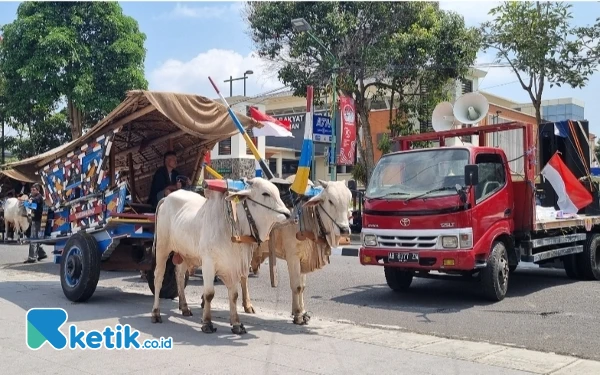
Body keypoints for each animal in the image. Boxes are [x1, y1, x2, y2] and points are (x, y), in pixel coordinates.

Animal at [150, 178, 290, 334]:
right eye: (265, 193)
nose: (288, 214)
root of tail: (167, 198)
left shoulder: (234, 266)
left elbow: (234, 295)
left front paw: (236, 324)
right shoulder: (208, 263)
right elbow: (209, 294)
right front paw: (207, 323)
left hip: (184, 253)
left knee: (179, 275)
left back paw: (185, 307)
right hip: (162, 248)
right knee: (158, 278)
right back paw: (155, 313)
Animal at [239, 181, 352, 324]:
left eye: (349, 201)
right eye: (331, 201)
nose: (344, 230)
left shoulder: (303, 258)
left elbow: (302, 286)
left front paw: (302, 312)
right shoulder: (292, 257)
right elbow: (296, 286)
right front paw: (298, 315)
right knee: (243, 277)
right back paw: (248, 305)